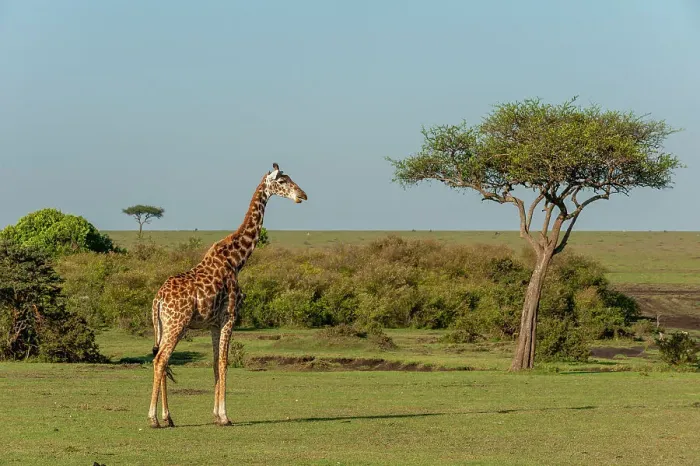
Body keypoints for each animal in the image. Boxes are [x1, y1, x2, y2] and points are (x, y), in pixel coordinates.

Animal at [148, 163, 307, 428]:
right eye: (283, 181)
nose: (302, 195)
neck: (237, 260)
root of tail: (157, 300)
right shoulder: (230, 316)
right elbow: (224, 362)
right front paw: (224, 416)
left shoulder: (214, 323)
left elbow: (214, 363)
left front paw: (215, 414)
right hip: (176, 324)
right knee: (160, 360)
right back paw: (153, 419)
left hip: (162, 326)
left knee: (164, 360)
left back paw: (168, 418)